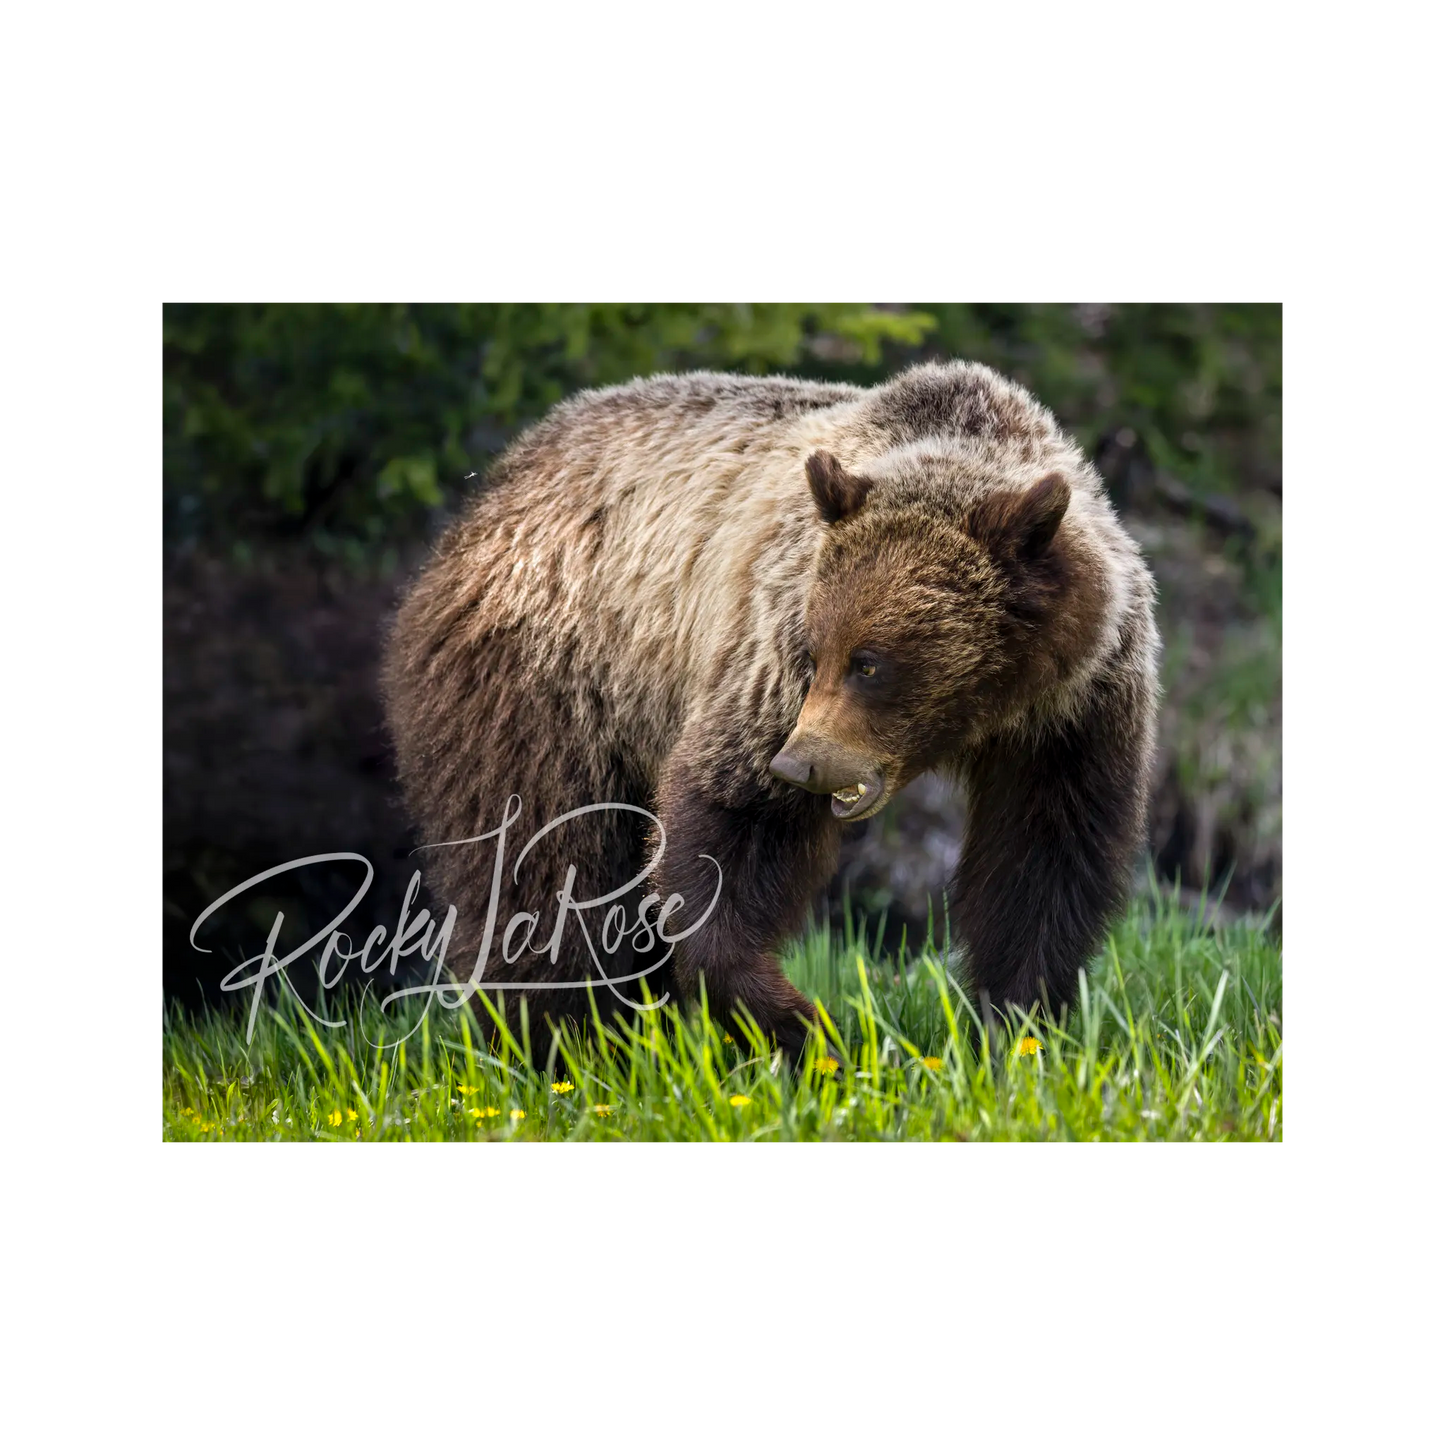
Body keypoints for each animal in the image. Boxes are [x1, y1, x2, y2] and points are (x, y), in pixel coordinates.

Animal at [381, 361, 1160, 1060]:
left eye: (870, 663)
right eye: (818, 653)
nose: (799, 763)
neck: (993, 705)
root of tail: (493, 490)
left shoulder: (1077, 715)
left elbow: (1042, 860)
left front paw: (1012, 1029)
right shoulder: (769, 645)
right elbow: (729, 821)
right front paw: (801, 1024)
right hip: (551, 675)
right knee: (541, 860)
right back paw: (568, 1044)